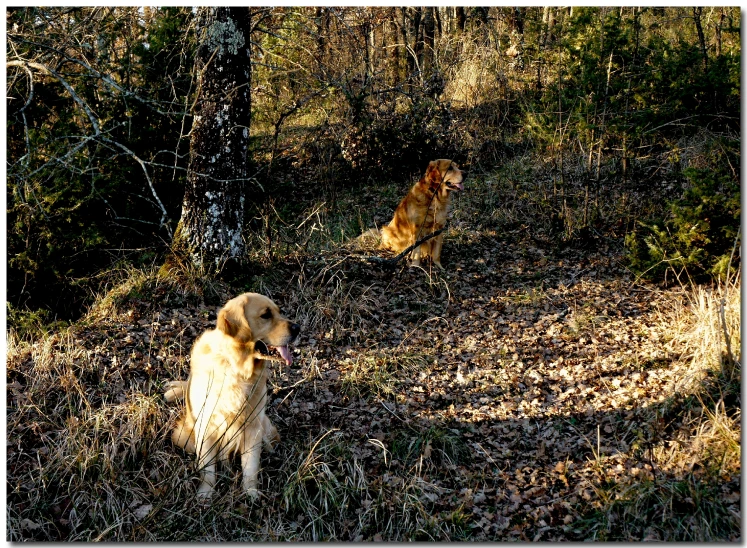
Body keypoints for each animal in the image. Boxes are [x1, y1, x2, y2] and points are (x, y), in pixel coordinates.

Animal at [165, 294, 300, 504]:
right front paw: (205, 493)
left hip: (266, 427)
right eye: (266, 315)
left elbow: (251, 466)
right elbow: (207, 468)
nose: (297, 328)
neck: (237, 369)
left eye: (279, 311)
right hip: (181, 436)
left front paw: (251, 493)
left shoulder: (253, 427)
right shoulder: (206, 427)